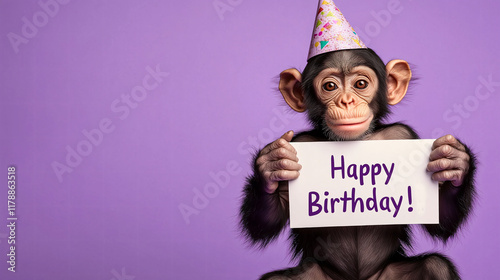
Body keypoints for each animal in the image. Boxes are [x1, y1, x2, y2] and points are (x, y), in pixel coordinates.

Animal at [238, 48, 476, 280]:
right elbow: (265, 222)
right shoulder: (300, 142)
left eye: (360, 84)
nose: (346, 101)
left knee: (436, 266)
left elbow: (437, 218)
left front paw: (453, 164)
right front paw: (271, 164)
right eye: (330, 86)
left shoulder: (403, 135)